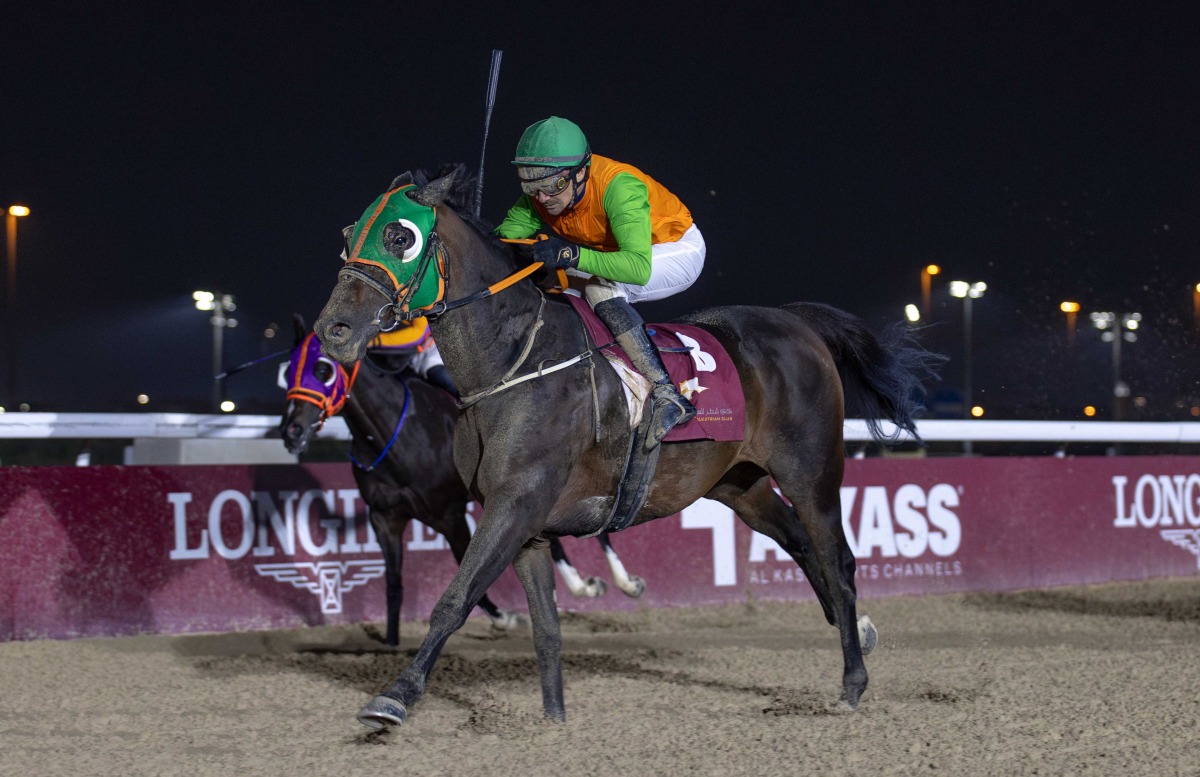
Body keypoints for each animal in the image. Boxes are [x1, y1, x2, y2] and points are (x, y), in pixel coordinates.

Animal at [307, 165, 936, 729]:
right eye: (347, 235)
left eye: (401, 237)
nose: (334, 330)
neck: (513, 361)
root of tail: (797, 322)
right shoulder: (523, 519)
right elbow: (546, 625)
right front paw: (555, 718)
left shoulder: (515, 504)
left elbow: (455, 598)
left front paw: (394, 698)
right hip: (740, 485)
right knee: (803, 546)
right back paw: (859, 631)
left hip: (812, 471)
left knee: (838, 558)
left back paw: (852, 682)